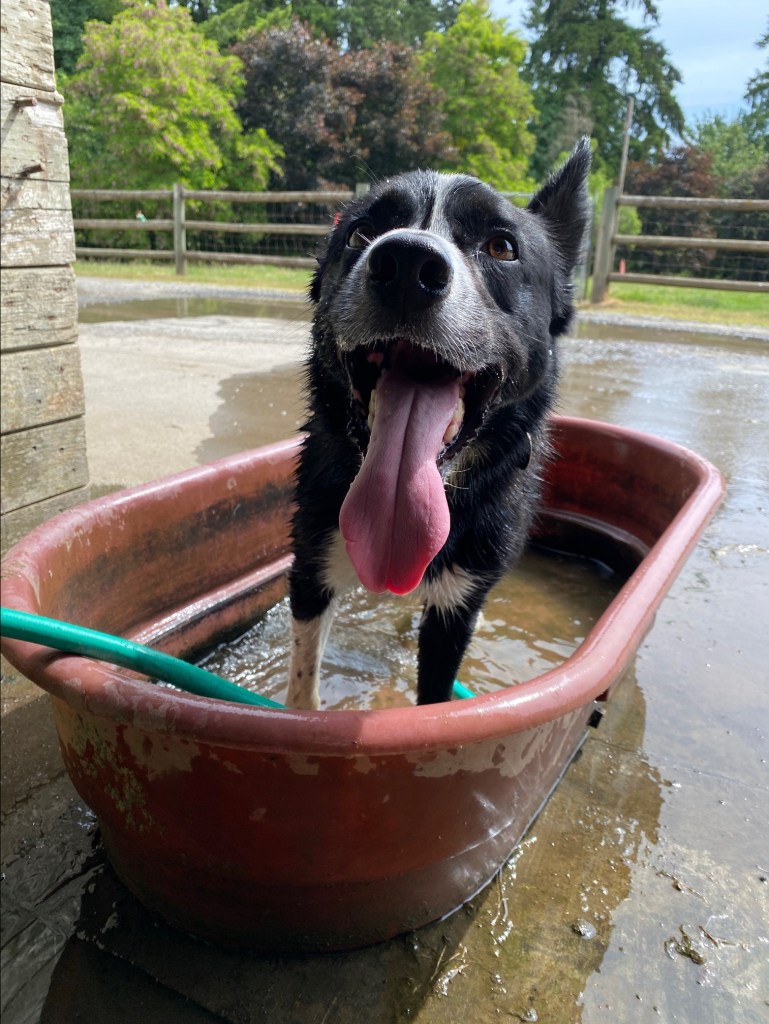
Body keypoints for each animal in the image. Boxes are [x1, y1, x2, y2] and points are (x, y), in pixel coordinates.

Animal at [286, 139, 591, 709]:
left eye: (502, 247)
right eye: (360, 233)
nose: (407, 264)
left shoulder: (457, 605)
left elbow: (435, 699)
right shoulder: (311, 561)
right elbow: (301, 688)